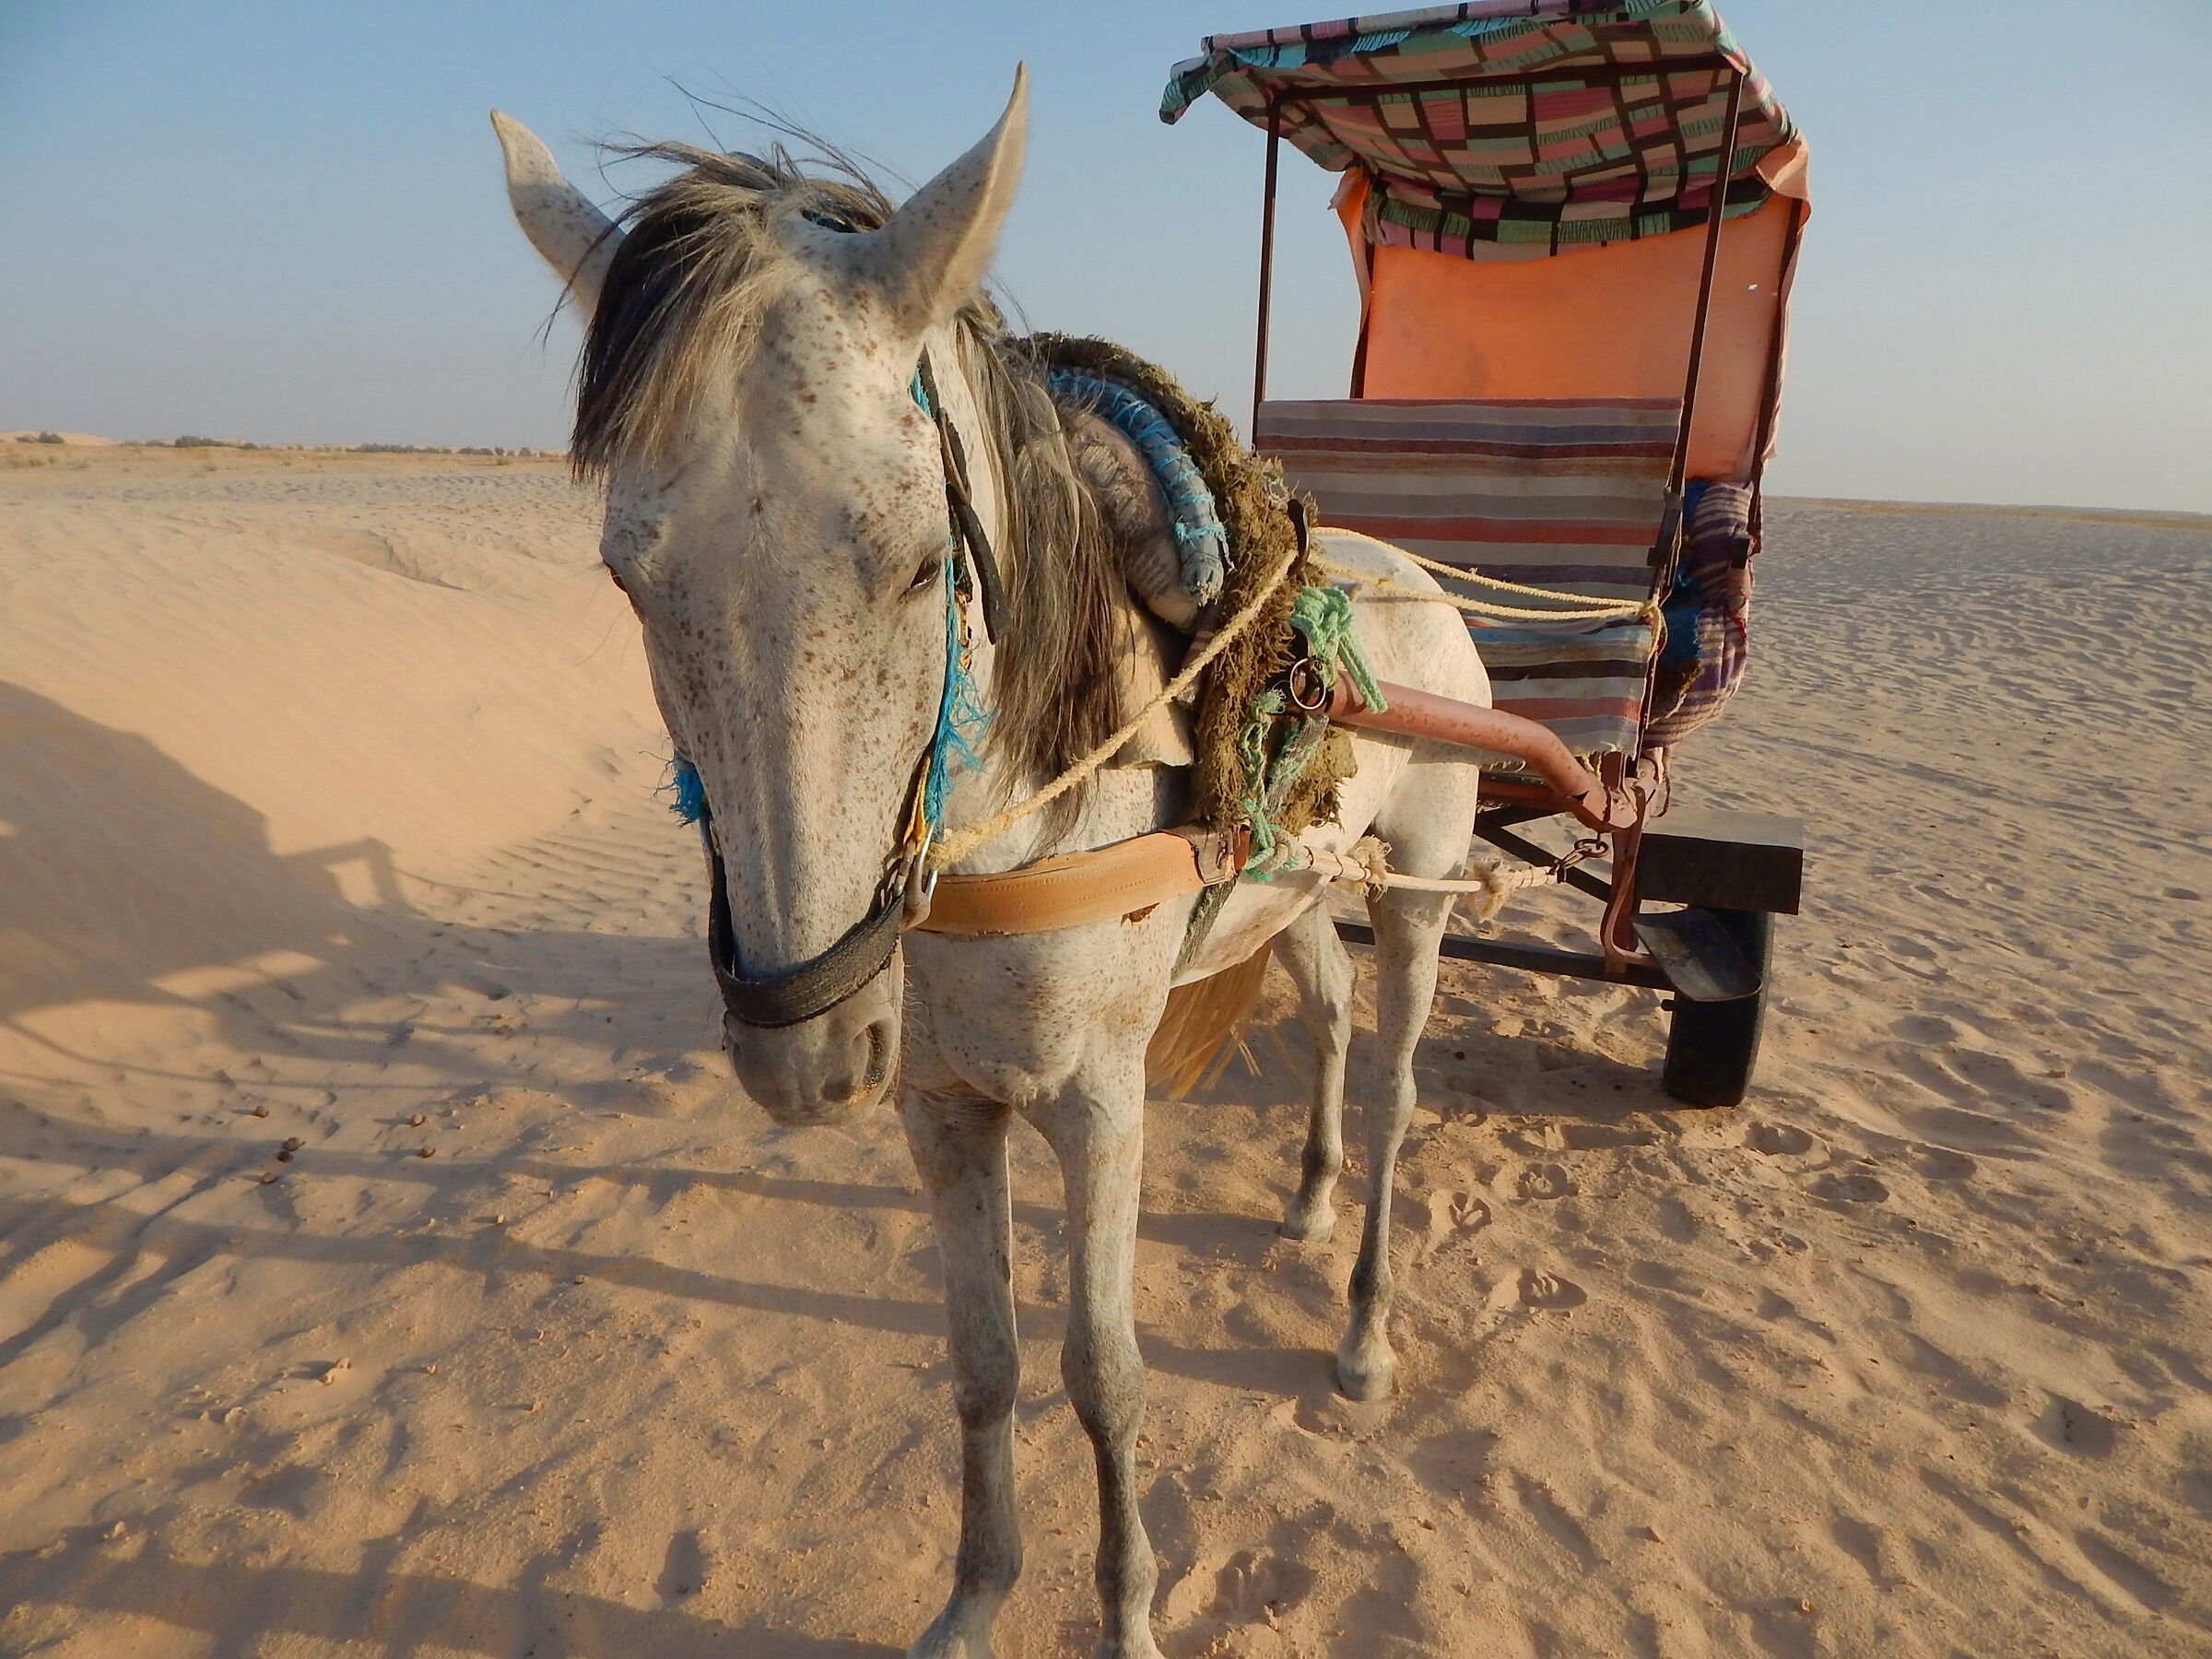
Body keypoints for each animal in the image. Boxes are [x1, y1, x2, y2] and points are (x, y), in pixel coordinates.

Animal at [492, 71, 1487, 1659]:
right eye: (627, 578)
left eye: (919, 564)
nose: (804, 1051)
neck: (1002, 839)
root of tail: (1410, 576)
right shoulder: (942, 1104)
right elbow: (983, 1361)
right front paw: (974, 1598)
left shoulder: (1097, 1101)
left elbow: (1103, 1373)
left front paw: (1128, 1615)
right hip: (1292, 890)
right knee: (1330, 1018)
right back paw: (1311, 1195)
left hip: (1420, 885)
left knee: (1396, 1085)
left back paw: (1364, 1327)